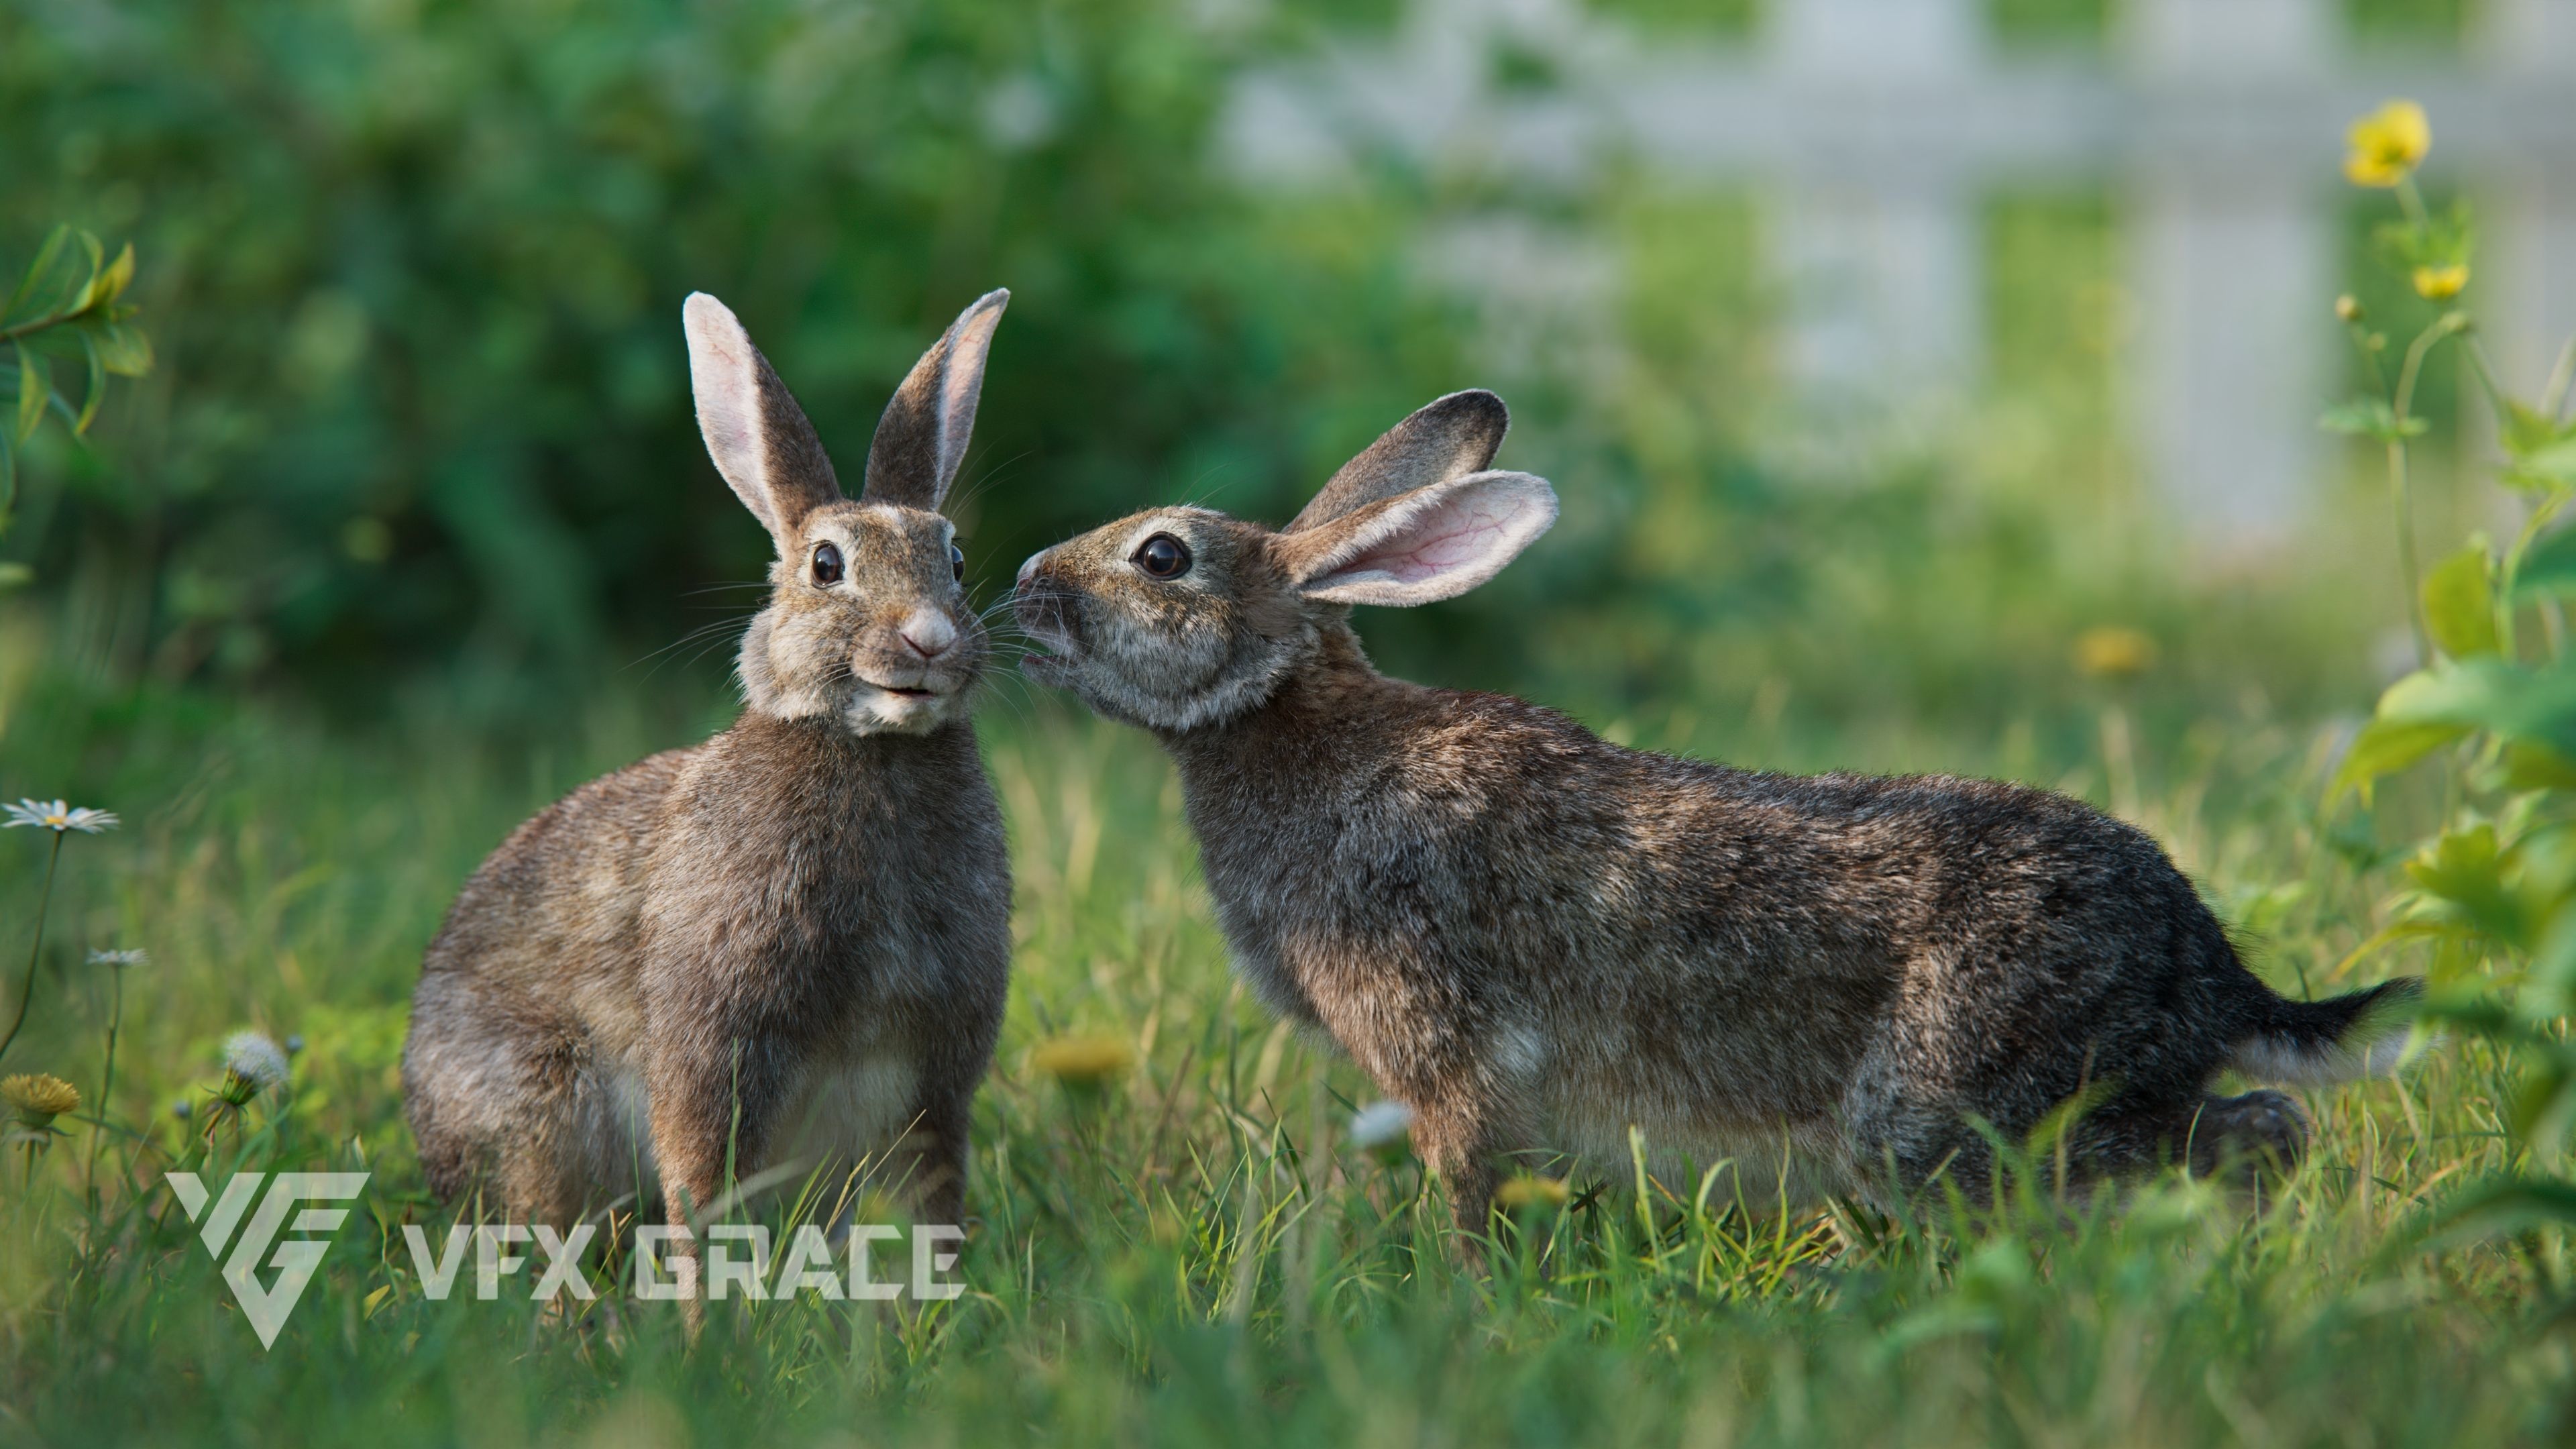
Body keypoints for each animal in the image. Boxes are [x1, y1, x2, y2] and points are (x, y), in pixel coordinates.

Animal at [403, 289, 1015, 1251]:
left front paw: (940, 1291)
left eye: (953, 559)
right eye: (827, 566)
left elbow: (933, 1197)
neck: (871, 747)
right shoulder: (713, 1039)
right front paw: (708, 1298)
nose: (930, 638)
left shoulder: (934, 1075)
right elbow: (699, 1184)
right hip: (543, 1100)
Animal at [1011, 388, 2422, 1235]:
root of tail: (2209, 972)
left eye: (1161, 557)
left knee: (2248, 1132)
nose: (1023, 582)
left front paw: (1456, 1288)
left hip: (1963, 1100)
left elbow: (1468, 1168)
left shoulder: (1445, 1048)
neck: (1280, 722)